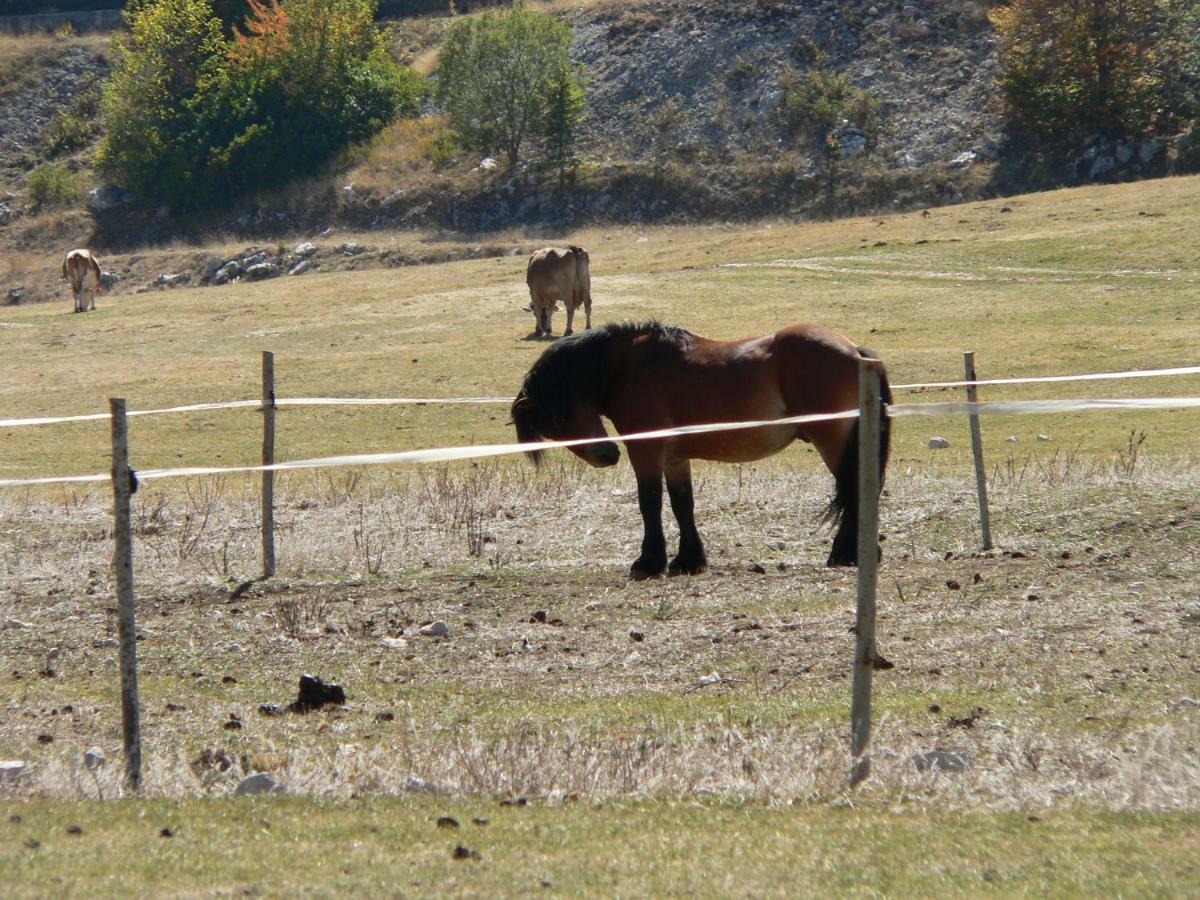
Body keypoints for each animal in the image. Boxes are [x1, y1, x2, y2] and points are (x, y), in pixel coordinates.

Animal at [508, 321, 892, 580]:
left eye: (561, 416)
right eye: (553, 426)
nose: (607, 456)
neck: (629, 367)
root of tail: (855, 351)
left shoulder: (646, 452)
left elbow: (649, 502)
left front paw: (649, 562)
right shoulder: (675, 458)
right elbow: (683, 505)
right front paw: (688, 560)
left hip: (833, 441)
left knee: (856, 489)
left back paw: (847, 553)